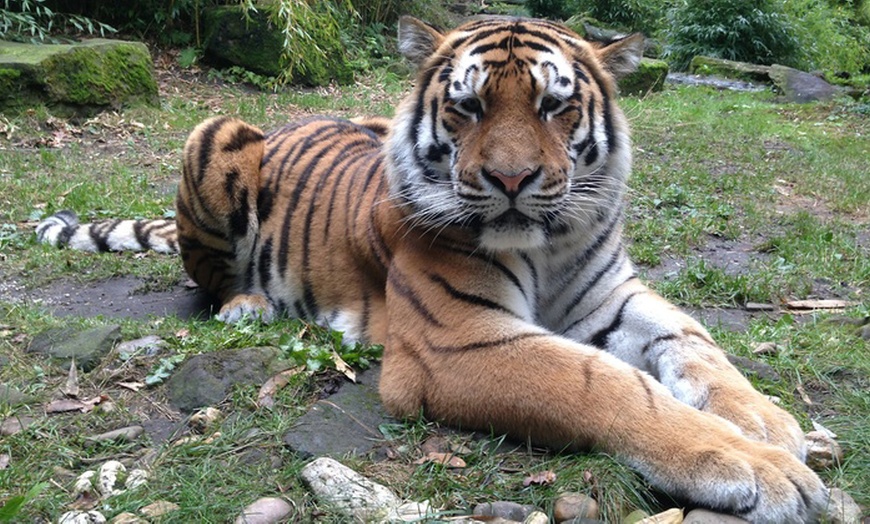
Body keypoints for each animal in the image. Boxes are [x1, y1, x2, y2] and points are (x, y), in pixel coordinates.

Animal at [39, 15, 832, 520]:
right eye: (468, 106)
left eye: (554, 107)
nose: (511, 179)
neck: (550, 245)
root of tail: (295, 120)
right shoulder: (458, 343)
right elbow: (604, 384)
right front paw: (756, 467)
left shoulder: (611, 295)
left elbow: (694, 341)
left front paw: (766, 421)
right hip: (216, 134)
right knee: (207, 280)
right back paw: (247, 304)